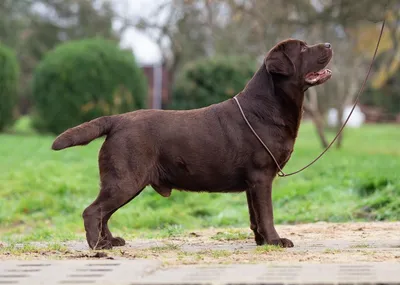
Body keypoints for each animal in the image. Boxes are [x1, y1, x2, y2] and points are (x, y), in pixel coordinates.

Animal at [51, 38, 332, 248]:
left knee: (104, 213)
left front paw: (262, 241)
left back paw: (110, 241)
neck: (267, 107)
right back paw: (98, 245)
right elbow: (267, 213)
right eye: (303, 49)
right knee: (93, 211)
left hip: (125, 181)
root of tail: (117, 119)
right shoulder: (262, 176)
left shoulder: (252, 183)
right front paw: (275, 241)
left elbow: (255, 216)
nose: (329, 44)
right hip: (125, 179)